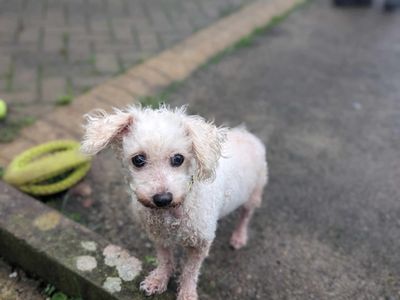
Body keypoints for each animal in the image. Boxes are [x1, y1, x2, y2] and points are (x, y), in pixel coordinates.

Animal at [80, 104, 268, 298]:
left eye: (178, 158)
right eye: (138, 159)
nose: (162, 199)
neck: (172, 213)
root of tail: (246, 134)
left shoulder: (200, 244)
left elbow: (190, 271)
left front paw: (187, 293)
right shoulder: (159, 235)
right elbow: (164, 260)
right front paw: (158, 280)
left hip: (254, 193)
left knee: (245, 215)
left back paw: (239, 236)